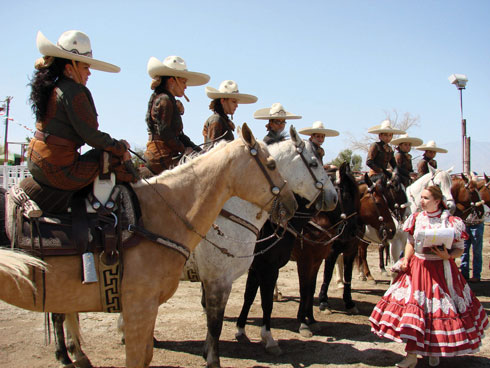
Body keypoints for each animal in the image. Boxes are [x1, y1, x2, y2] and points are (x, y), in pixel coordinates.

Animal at [0, 125, 296, 368]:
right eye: (271, 165)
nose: (292, 204)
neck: (158, 216)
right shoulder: (158, 299)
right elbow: (212, 323)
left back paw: (77, 355)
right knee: (60, 317)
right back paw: (66, 355)